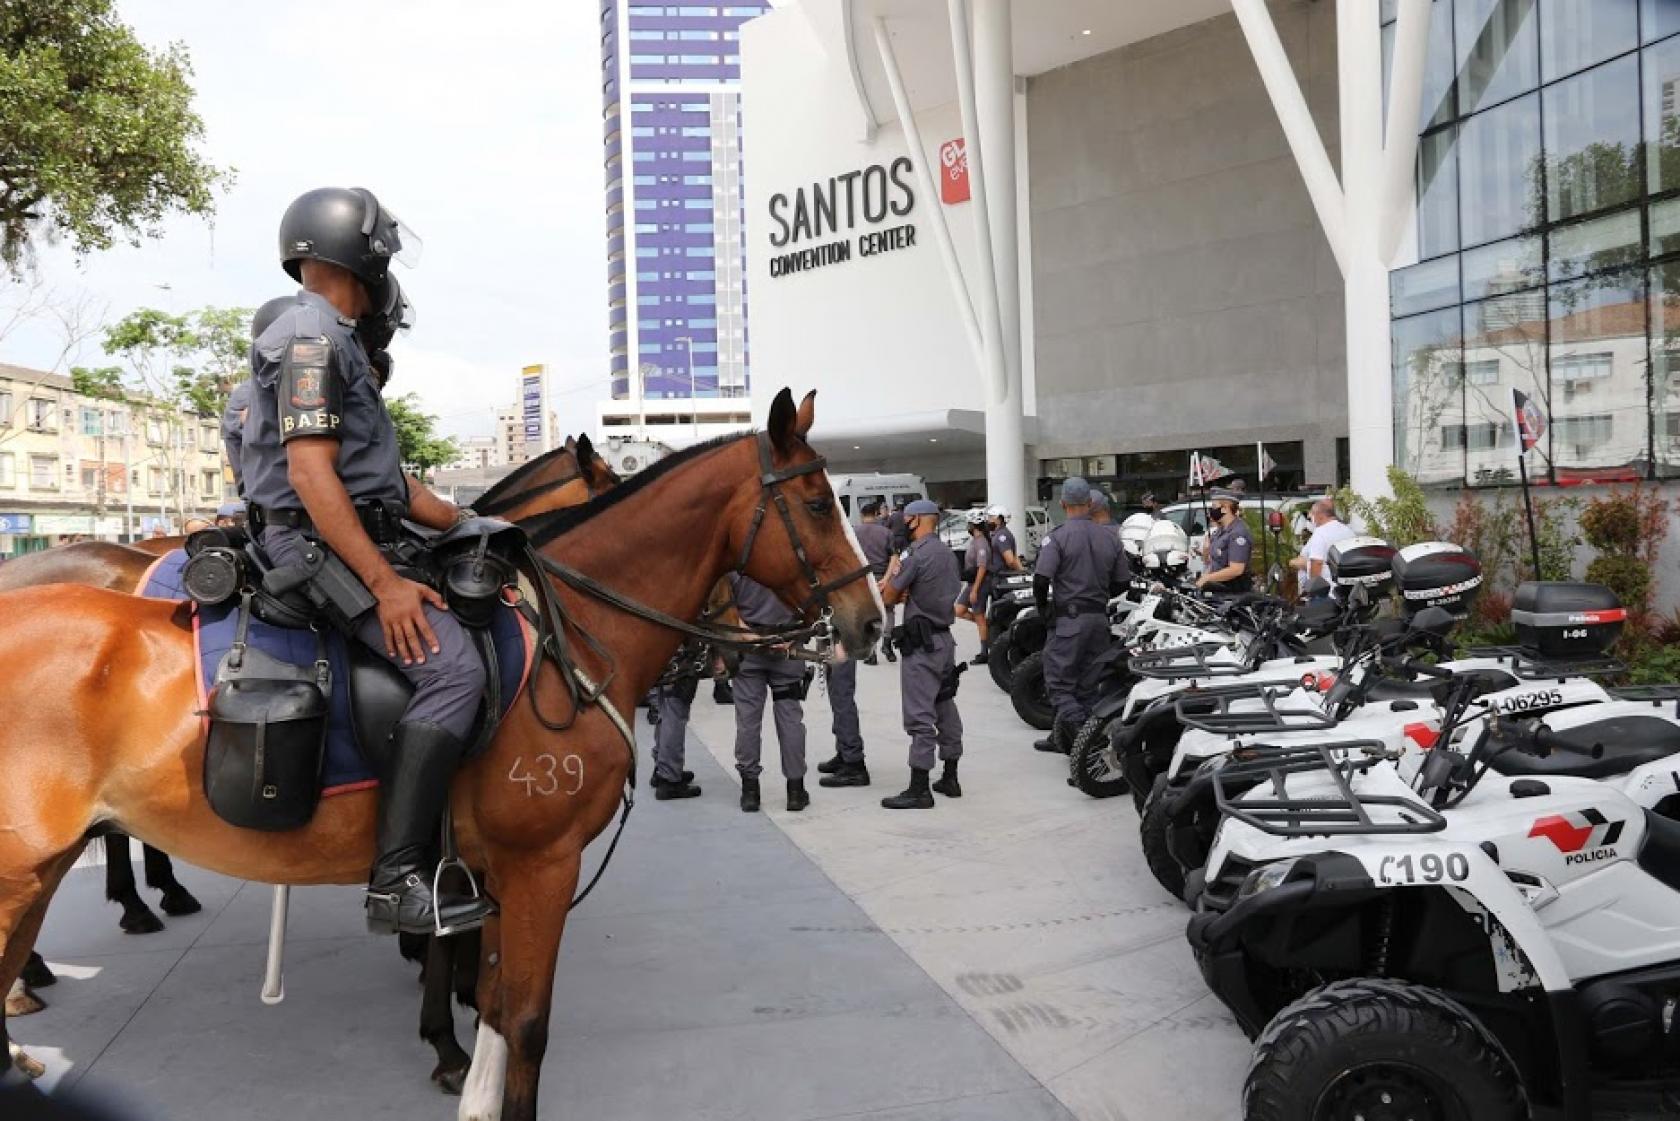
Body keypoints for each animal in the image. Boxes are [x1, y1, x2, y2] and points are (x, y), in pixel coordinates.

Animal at [0, 389, 880, 1115]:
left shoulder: (486, 870)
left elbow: (491, 1001)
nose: (869, 620)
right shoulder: (540, 865)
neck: (568, 641)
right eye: (816, 502)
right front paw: (452, 1050)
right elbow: (524, 1020)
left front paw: (458, 1056)